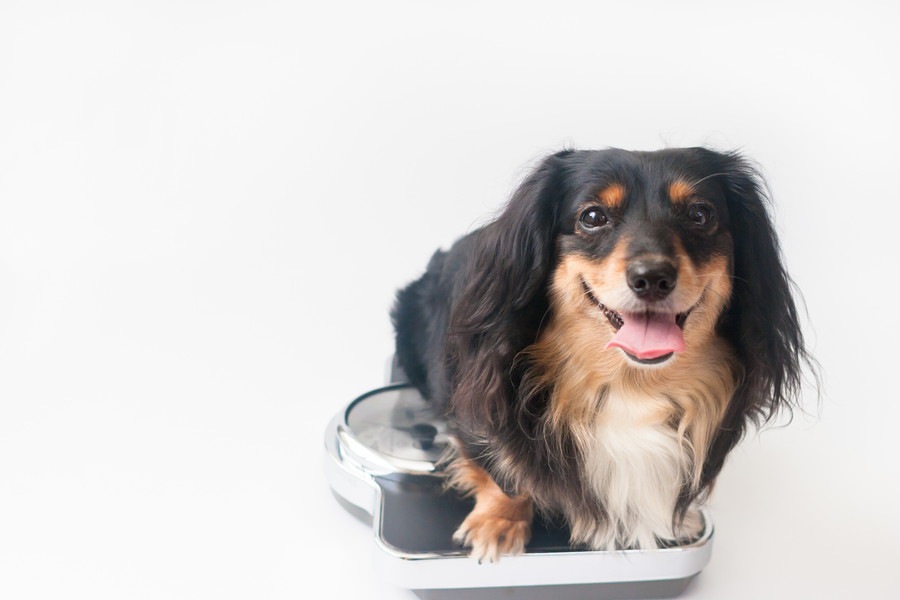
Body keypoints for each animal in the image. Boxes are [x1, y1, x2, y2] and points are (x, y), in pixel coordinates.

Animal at [390, 146, 812, 564]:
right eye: (593, 217)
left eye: (700, 214)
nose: (652, 278)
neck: (632, 385)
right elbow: (499, 465)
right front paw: (499, 522)